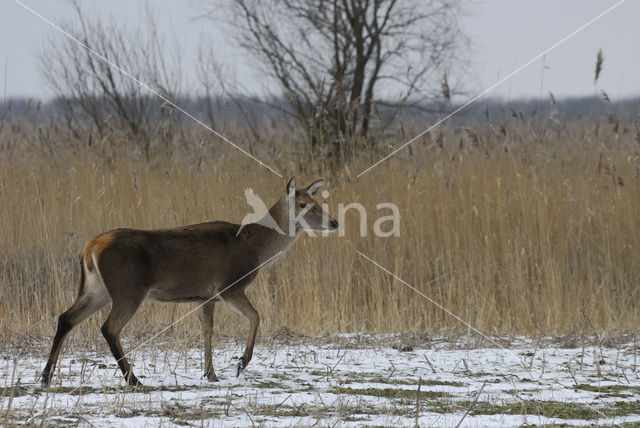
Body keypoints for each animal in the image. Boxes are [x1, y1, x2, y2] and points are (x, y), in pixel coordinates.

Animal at [42, 178, 338, 388]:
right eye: (303, 204)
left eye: (316, 200)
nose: (334, 222)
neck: (254, 249)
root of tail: (90, 247)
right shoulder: (229, 285)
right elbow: (256, 316)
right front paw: (241, 363)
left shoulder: (204, 296)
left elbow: (207, 329)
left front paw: (210, 373)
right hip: (128, 288)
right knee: (109, 327)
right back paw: (133, 379)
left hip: (97, 288)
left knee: (66, 318)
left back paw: (46, 377)